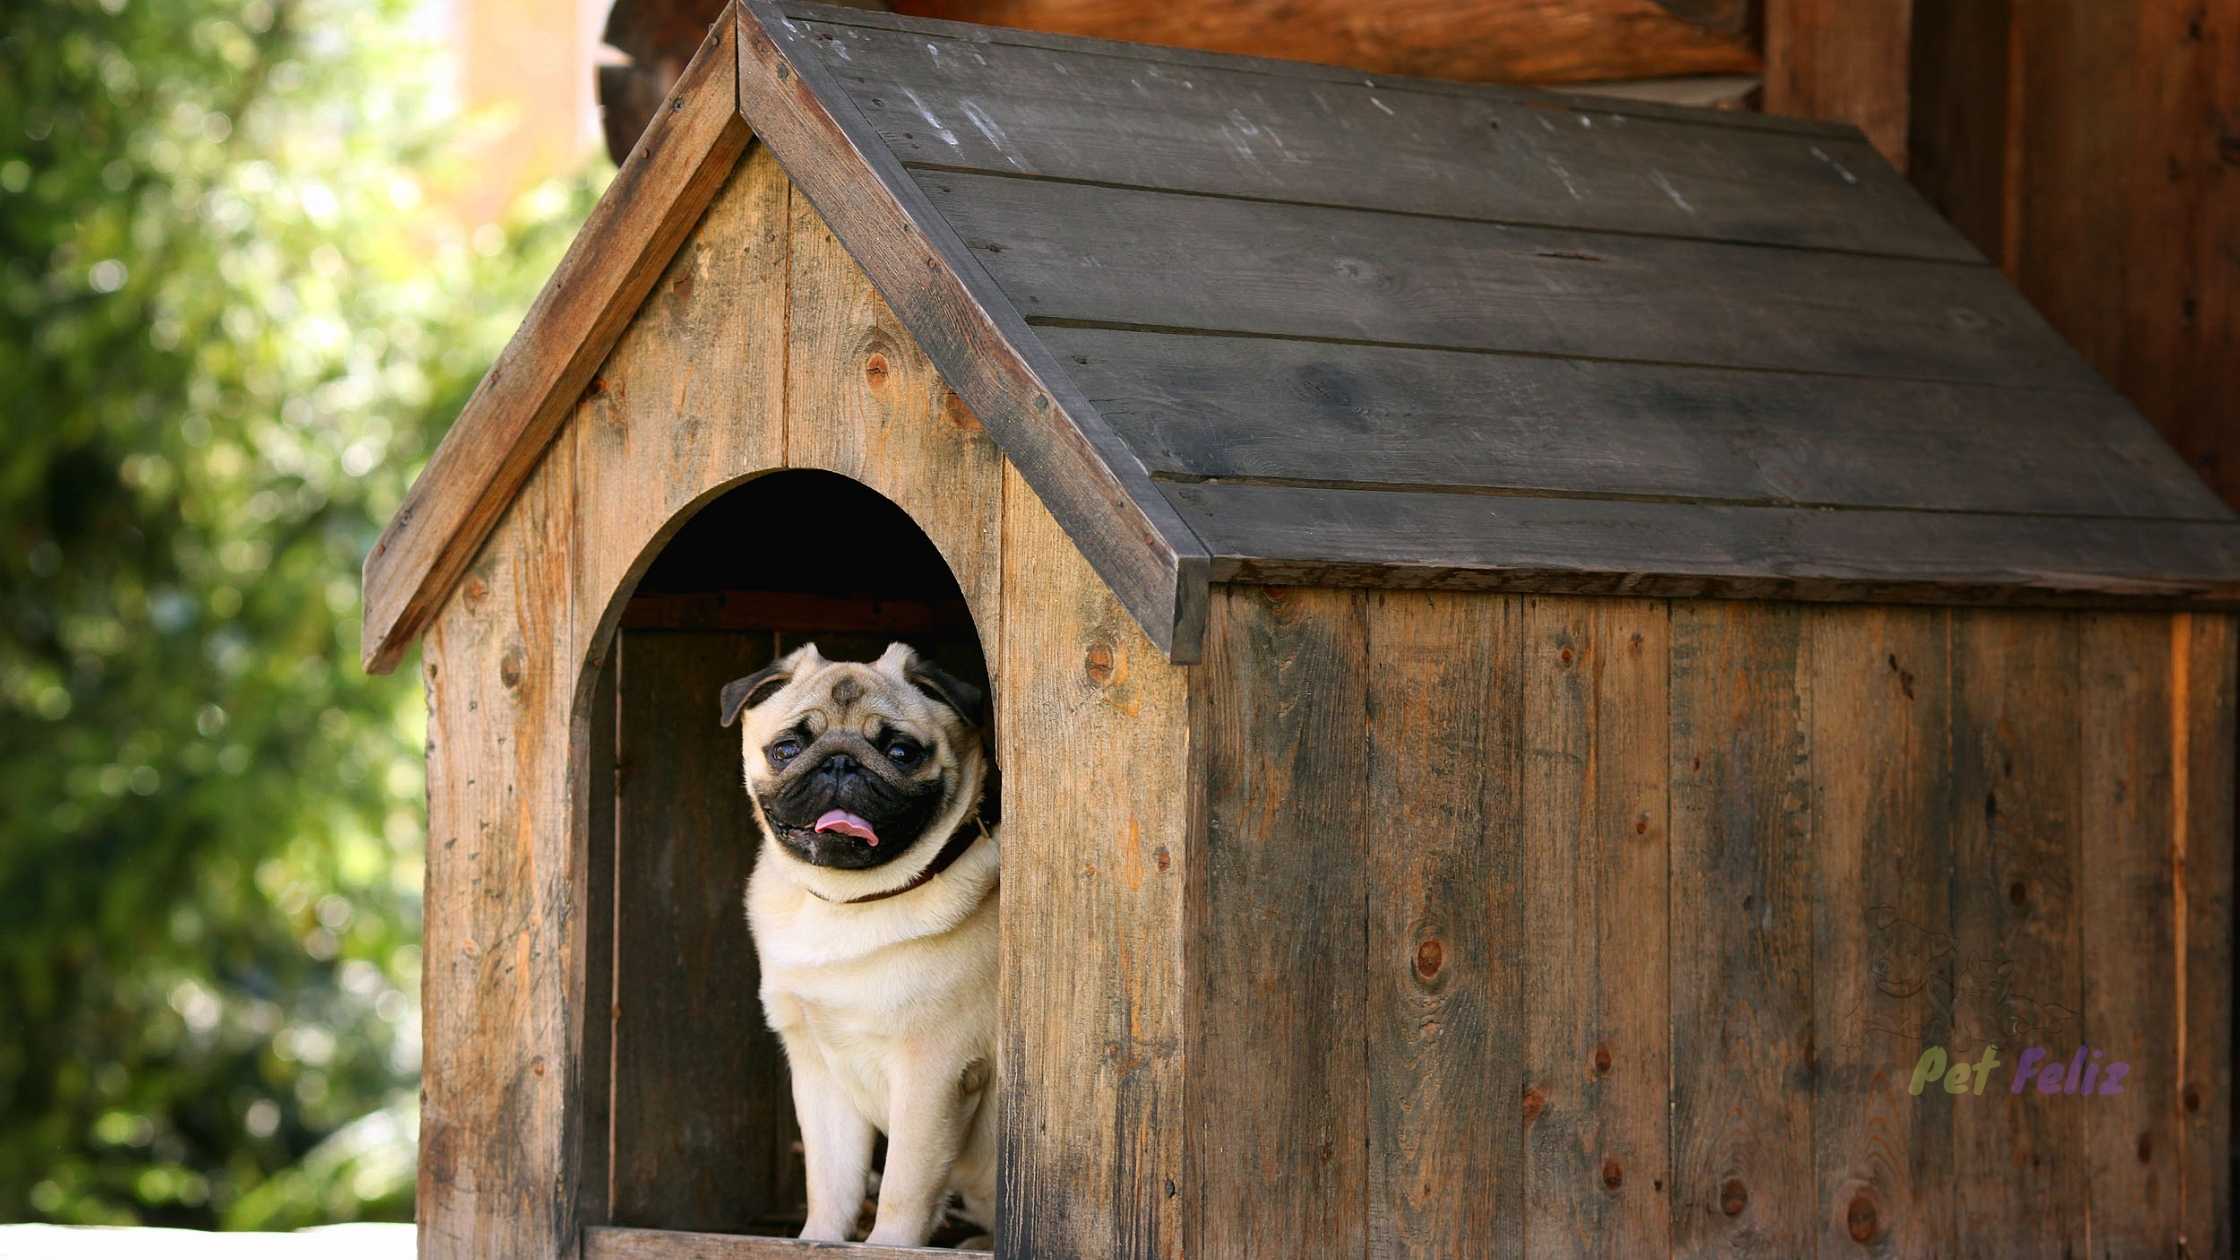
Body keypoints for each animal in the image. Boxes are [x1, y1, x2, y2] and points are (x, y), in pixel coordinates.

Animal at [721, 641, 1003, 1237]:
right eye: (786, 749)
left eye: (901, 752)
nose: (839, 762)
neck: (849, 903)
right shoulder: (819, 1072)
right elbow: (831, 1184)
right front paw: (817, 1242)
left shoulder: (933, 1075)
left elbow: (903, 1189)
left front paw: (887, 1244)